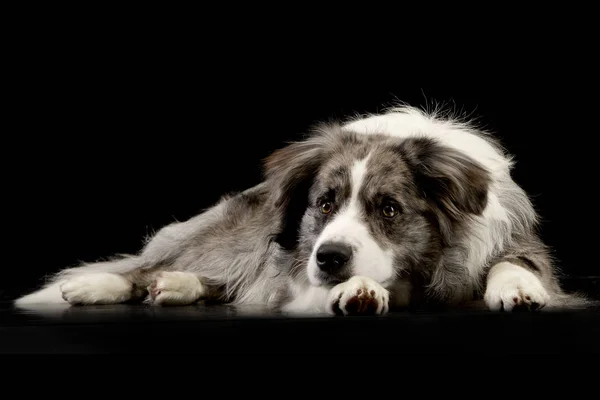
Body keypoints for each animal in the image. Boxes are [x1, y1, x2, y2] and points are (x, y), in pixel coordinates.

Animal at [15, 104, 592, 316]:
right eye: (324, 204)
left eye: (388, 208)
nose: (330, 257)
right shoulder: (294, 273)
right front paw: (357, 290)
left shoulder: (514, 242)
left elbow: (514, 261)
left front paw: (516, 287)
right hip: (220, 238)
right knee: (147, 266)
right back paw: (98, 286)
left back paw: (178, 287)